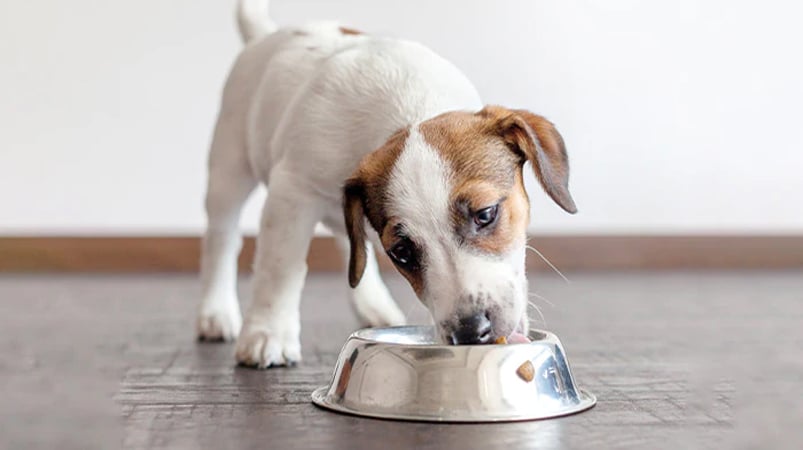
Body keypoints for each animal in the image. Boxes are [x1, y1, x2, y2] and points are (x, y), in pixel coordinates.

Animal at [199, 0, 576, 370]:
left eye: (485, 214)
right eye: (402, 252)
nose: (470, 332)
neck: (409, 108)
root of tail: (264, 35)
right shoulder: (291, 192)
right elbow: (280, 268)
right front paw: (268, 333)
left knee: (351, 246)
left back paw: (373, 305)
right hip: (228, 172)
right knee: (222, 239)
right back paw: (216, 311)